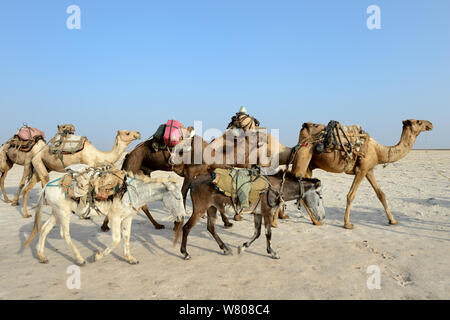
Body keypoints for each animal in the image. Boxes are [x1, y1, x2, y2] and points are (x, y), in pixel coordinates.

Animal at [290, 119, 434, 229]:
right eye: (419, 122)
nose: (431, 124)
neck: (379, 151)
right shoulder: (362, 169)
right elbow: (351, 195)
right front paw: (347, 224)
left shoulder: (369, 170)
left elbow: (381, 194)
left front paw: (392, 220)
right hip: (304, 156)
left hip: (309, 165)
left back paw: (315, 221)